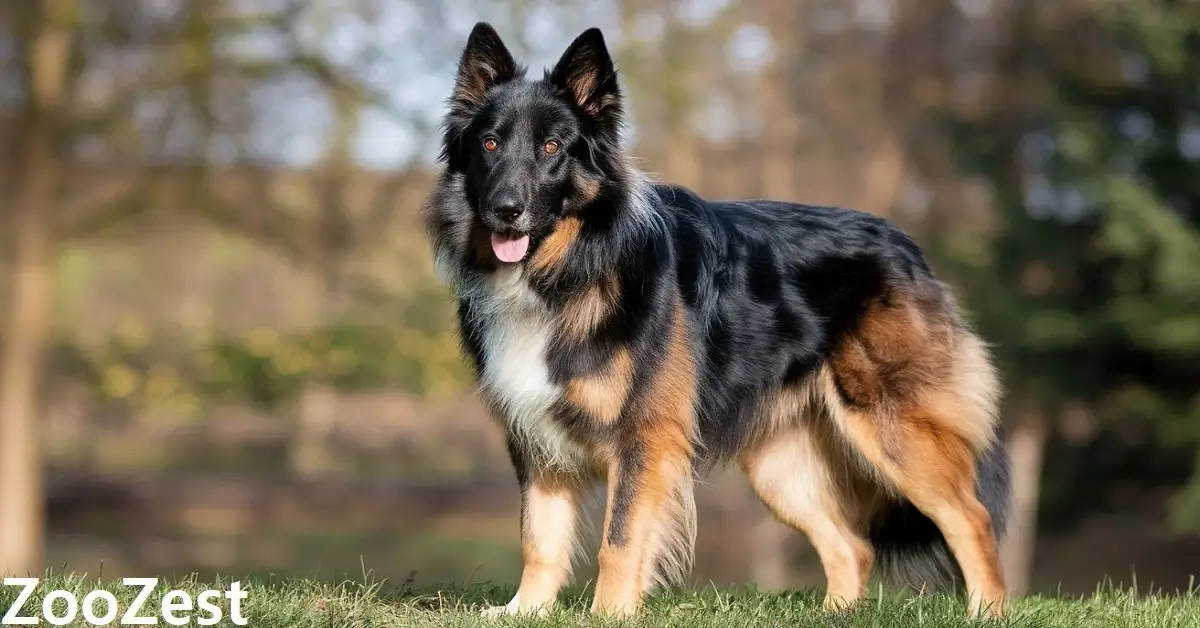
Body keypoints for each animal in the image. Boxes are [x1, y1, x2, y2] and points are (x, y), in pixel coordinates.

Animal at [424, 22, 1012, 619]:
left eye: (552, 148)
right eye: (490, 145)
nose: (505, 210)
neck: (574, 265)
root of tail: (907, 246)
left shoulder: (642, 439)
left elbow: (620, 541)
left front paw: (608, 615)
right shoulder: (536, 435)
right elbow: (538, 538)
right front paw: (526, 610)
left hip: (889, 426)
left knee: (971, 517)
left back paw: (987, 611)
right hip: (780, 466)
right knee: (853, 546)